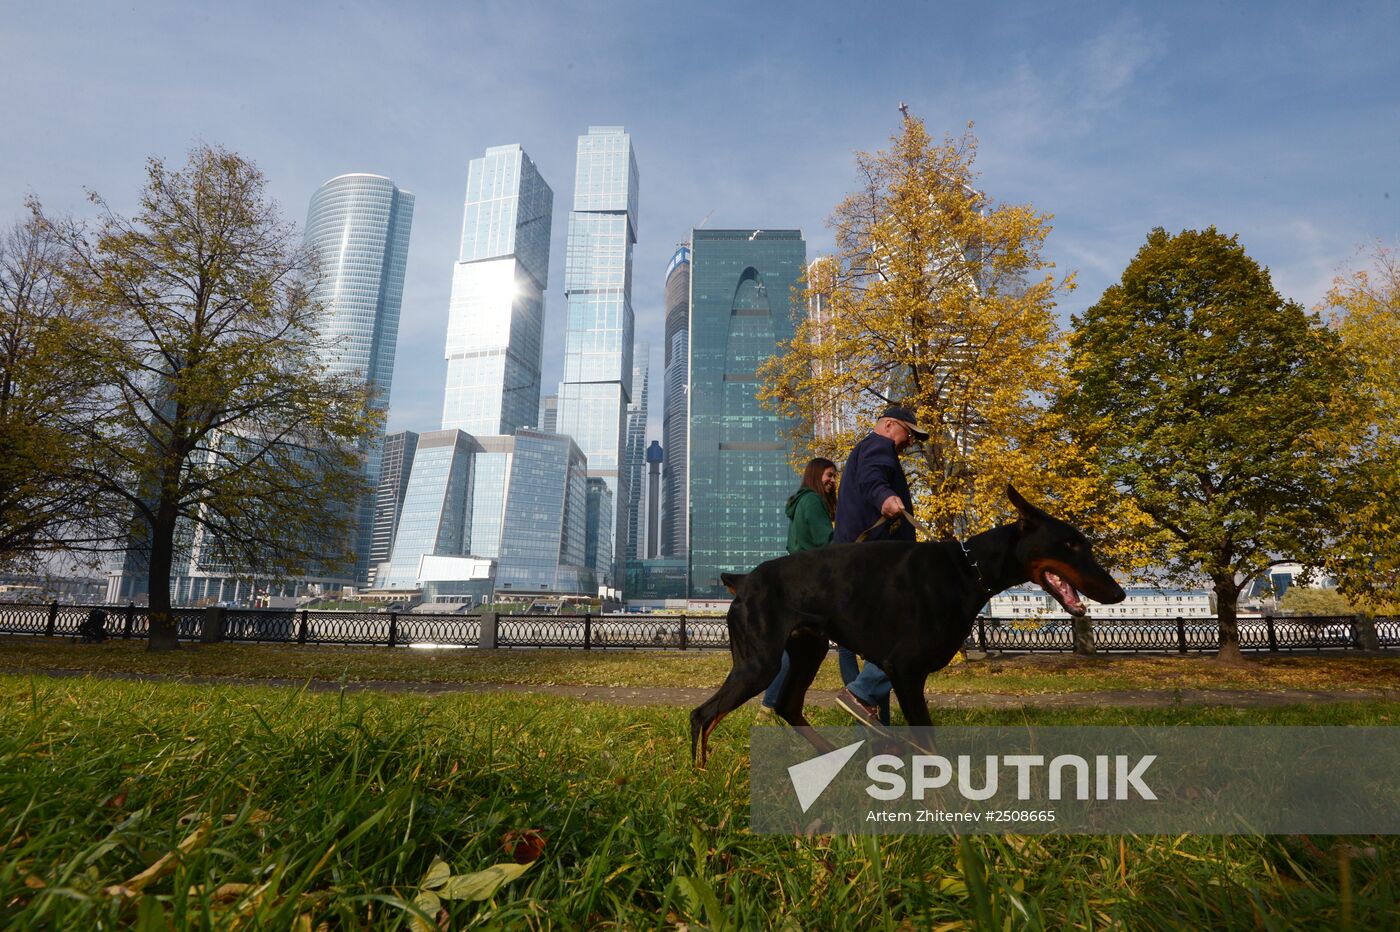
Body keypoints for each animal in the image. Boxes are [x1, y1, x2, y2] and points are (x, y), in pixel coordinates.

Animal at [688, 486, 1125, 761]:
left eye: (1085, 544)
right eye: (1069, 544)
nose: (1118, 592)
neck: (967, 568)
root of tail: (743, 579)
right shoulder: (906, 670)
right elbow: (928, 740)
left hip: (808, 649)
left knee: (788, 705)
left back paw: (832, 756)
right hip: (758, 664)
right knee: (703, 716)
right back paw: (700, 775)